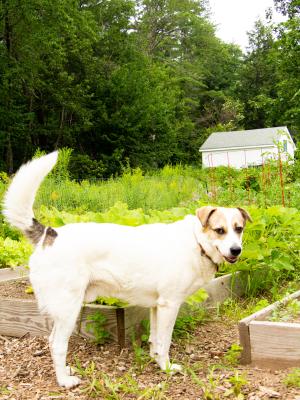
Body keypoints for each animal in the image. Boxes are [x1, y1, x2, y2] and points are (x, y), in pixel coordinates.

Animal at [2, 152, 251, 388]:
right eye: (220, 230)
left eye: (239, 229)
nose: (236, 250)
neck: (196, 241)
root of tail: (51, 233)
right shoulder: (169, 305)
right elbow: (165, 340)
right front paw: (166, 367)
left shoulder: (157, 306)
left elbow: (155, 339)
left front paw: (156, 359)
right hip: (68, 309)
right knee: (56, 344)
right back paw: (64, 380)